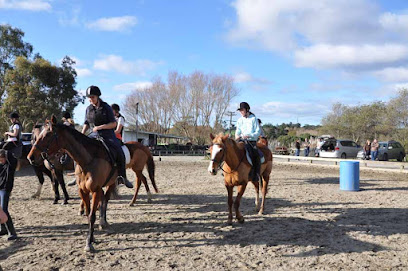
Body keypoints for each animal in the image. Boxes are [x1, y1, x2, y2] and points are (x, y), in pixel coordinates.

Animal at [27, 117, 157, 253]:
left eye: (48, 135)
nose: (30, 157)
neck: (88, 161)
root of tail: (142, 146)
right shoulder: (82, 191)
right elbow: (88, 212)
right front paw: (92, 237)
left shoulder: (94, 190)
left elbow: (91, 215)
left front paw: (89, 243)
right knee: (110, 196)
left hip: (129, 173)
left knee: (133, 184)